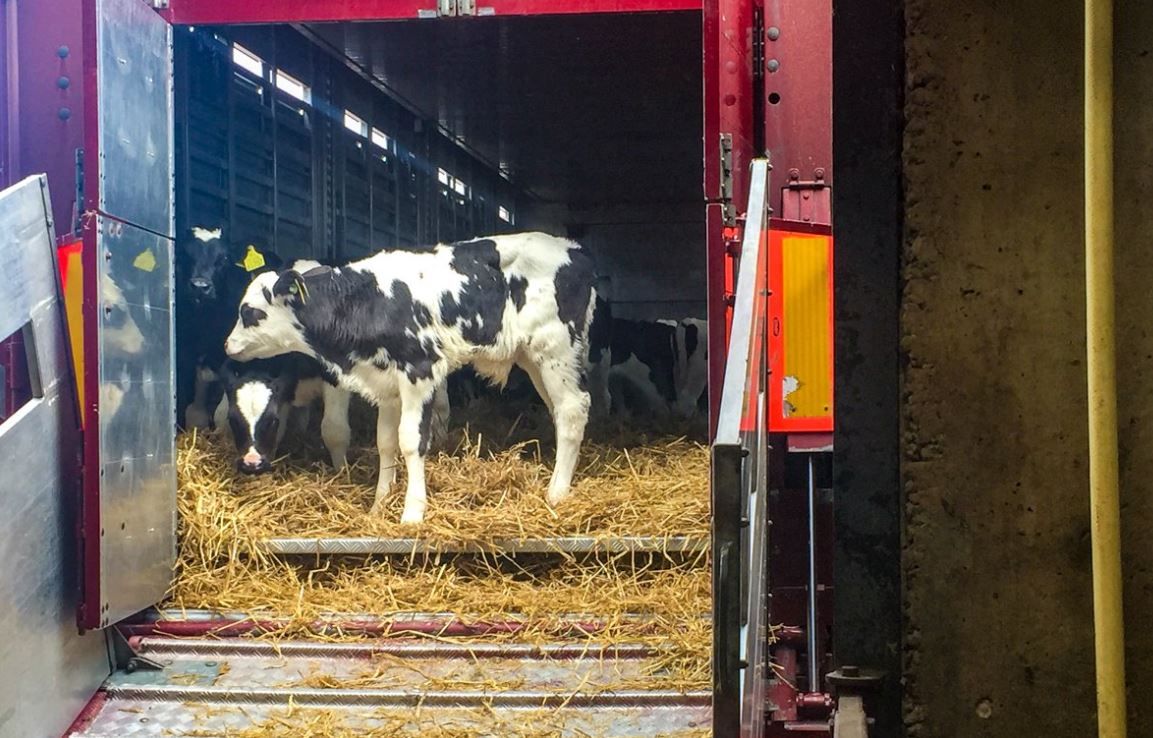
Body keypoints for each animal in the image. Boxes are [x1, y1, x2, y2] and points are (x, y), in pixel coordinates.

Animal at [224, 232, 596, 525]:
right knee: (560, 411)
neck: (371, 301)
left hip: (556, 349)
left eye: (249, 311)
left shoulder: (420, 371)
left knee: (573, 409)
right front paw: (379, 505)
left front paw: (412, 513)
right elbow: (385, 442)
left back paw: (556, 493)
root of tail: (575, 250)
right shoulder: (387, 385)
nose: (227, 345)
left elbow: (410, 441)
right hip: (534, 359)